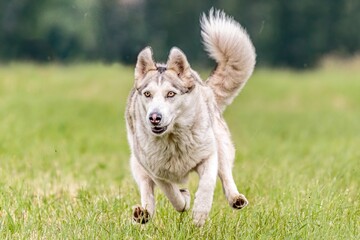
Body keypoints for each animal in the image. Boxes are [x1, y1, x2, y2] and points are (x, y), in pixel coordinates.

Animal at [125, 8, 255, 227]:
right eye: (148, 94)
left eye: (170, 94)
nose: (154, 117)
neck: (173, 140)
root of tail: (203, 83)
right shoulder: (155, 170)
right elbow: (171, 193)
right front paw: (184, 200)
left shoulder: (208, 156)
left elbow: (207, 184)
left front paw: (199, 214)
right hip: (137, 162)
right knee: (147, 190)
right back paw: (143, 213)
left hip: (221, 143)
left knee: (225, 173)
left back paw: (235, 198)